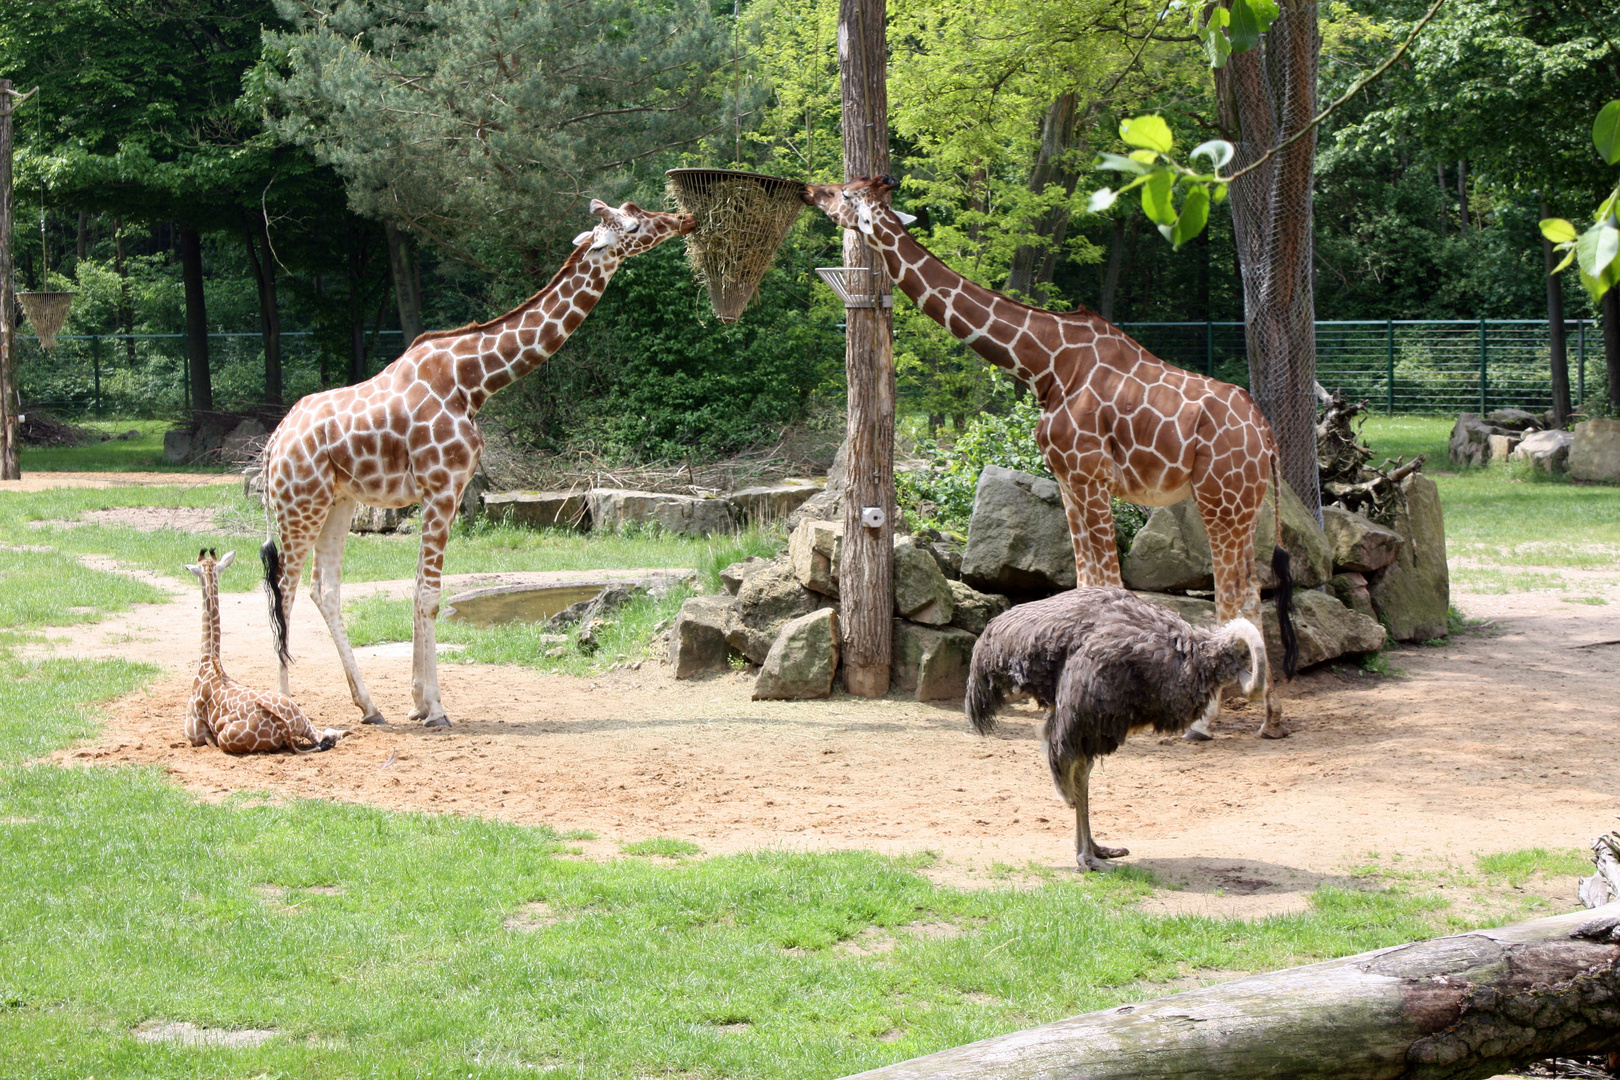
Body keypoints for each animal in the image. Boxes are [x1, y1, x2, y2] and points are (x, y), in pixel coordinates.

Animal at [185, 553, 341, 757]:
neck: (208, 664)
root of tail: (281, 725)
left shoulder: (193, 734)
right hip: (299, 715)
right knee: (326, 737)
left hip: (225, 739)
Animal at [259, 201, 696, 725]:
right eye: (633, 225)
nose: (685, 219)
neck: (473, 381)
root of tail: (275, 442)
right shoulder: (442, 487)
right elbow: (428, 595)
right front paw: (433, 707)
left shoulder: (436, 491)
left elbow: (419, 591)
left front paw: (415, 704)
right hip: (299, 504)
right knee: (283, 588)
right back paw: (286, 707)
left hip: (337, 502)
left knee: (324, 589)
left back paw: (369, 706)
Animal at [803, 177, 1296, 738]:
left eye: (844, 195)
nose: (808, 191)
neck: (1044, 362)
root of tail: (1267, 437)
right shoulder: (1067, 476)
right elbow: (1085, 581)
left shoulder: (1088, 473)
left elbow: (1105, 583)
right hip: (1243, 502)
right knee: (1253, 590)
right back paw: (1269, 717)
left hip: (1221, 497)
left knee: (1234, 591)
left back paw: (1206, 720)